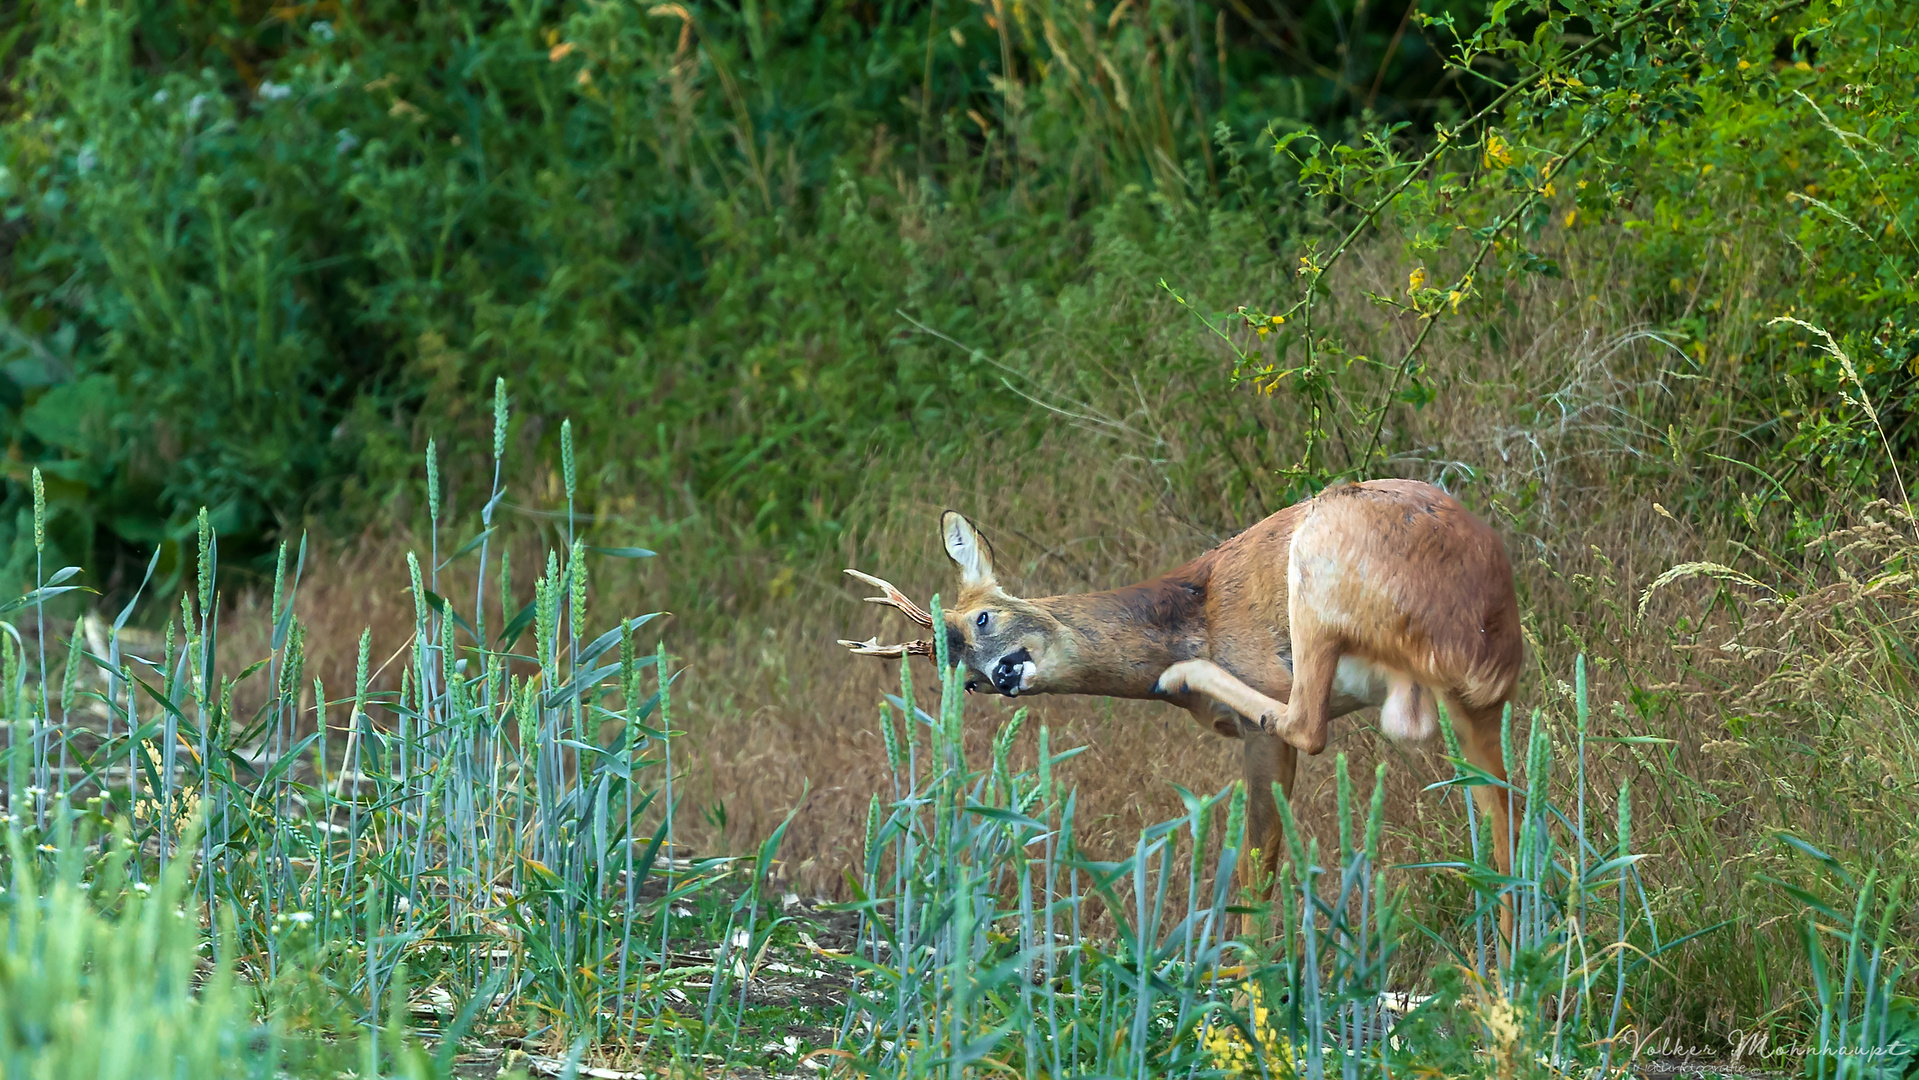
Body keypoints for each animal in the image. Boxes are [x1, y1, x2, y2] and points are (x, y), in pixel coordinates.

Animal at [848, 477, 1519, 943]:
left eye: (983, 618)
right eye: (961, 678)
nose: (1001, 675)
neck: (1185, 614)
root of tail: (1475, 635)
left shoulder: (1259, 722)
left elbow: (1256, 867)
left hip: (1318, 569)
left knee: (1310, 720)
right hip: (1476, 704)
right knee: (1506, 813)